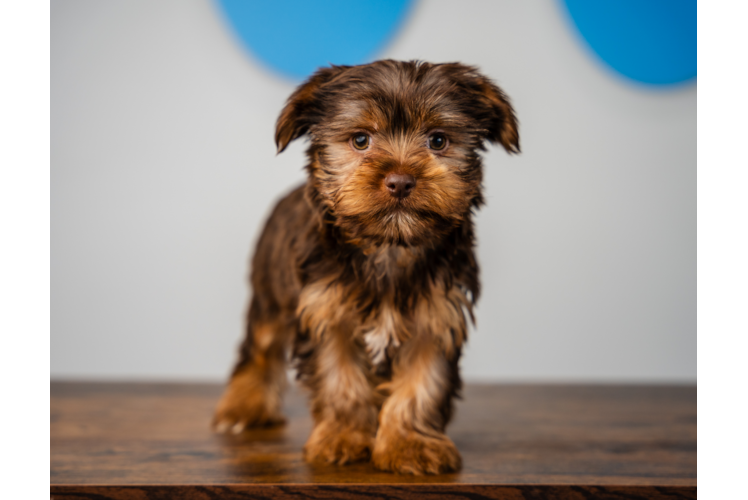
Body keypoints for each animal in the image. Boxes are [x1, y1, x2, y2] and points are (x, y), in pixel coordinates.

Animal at [213, 60, 520, 474]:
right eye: (360, 140)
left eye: (438, 141)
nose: (400, 181)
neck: (388, 246)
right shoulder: (326, 314)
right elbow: (340, 379)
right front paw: (342, 437)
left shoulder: (436, 318)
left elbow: (423, 383)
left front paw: (409, 443)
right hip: (269, 292)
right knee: (259, 347)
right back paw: (243, 407)